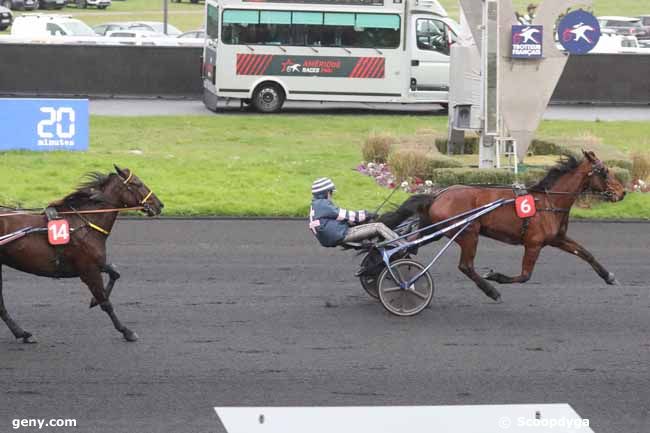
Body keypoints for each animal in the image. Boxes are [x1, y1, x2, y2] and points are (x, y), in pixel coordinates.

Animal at [0, 165, 162, 340]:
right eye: (137, 183)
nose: (160, 205)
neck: (85, 224)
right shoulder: (88, 270)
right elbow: (106, 303)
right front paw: (126, 331)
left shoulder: (93, 264)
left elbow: (114, 272)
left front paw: (93, 301)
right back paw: (22, 332)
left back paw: (22, 333)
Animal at [380, 150, 624, 302]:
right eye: (604, 171)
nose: (622, 192)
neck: (549, 202)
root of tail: (437, 195)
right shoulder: (533, 243)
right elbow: (525, 275)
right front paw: (495, 276)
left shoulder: (557, 239)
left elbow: (586, 254)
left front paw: (609, 276)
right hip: (469, 232)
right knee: (465, 266)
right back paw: (491, 291)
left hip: (435, 229)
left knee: (408, 245)